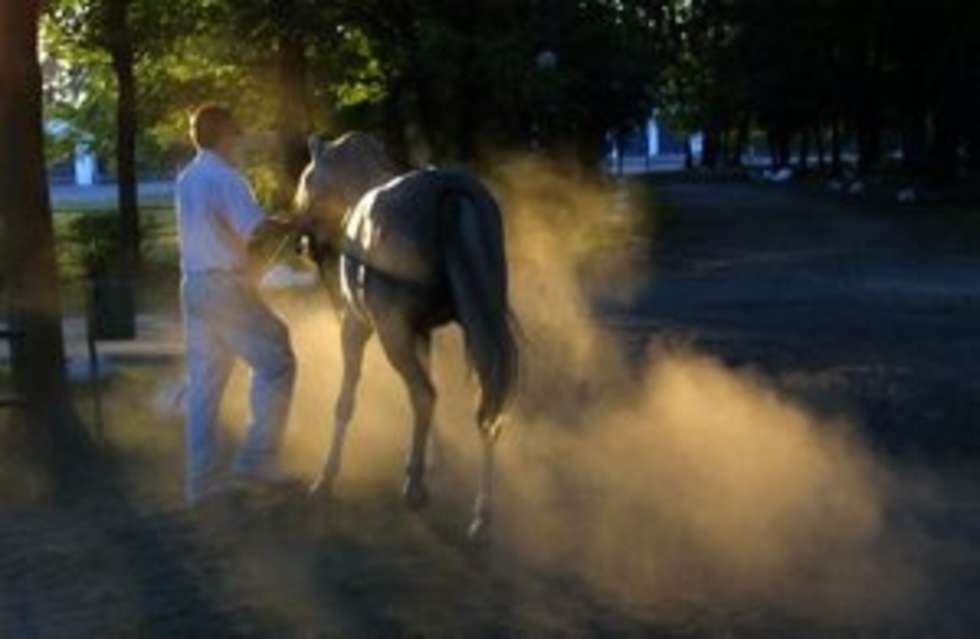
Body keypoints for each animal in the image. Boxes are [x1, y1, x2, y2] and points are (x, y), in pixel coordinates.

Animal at [292, 131, 516, 540]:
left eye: (305, 179)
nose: (302, 244)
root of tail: (447, 188)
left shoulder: (356, 326)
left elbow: (346, 400)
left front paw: (326, 477)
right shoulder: (421, 332)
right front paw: (430, 458)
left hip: (390, 333)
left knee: (426, 394)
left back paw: (414, 490)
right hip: (479, 330)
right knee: (484, 410)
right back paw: (482, 514)